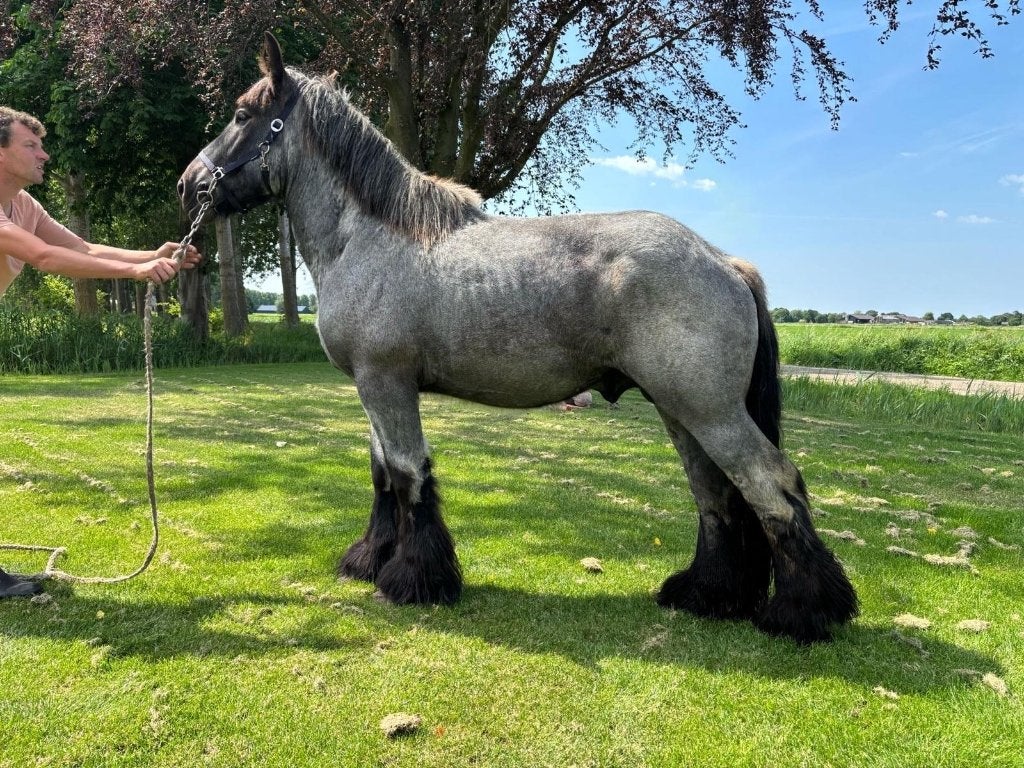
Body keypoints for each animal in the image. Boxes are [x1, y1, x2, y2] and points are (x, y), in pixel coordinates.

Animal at [178, 33, 858, 644]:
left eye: (242, 115)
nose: (189, 185)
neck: (370, 237)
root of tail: (725, 261)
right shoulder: (373, 391)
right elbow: (383, 476)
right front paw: (369, 560)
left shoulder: (387, 384)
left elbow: (409, 475)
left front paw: (415, 580)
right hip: (682, 412)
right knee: (716, 497)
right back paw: (707, 595)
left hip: (708, 410)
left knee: (772, 486)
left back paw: (804, 613)